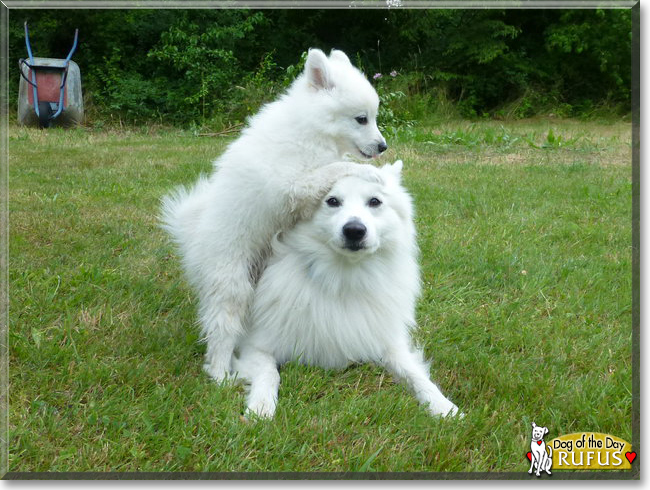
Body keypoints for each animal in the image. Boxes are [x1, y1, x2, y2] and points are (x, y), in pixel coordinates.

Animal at [160, 47, 388, 380]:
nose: (383, 146)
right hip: (232, 283)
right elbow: (336, 167)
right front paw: (370, 172)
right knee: (221, 329)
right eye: (362, 119)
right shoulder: (293, 184)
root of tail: (191, 239)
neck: (311, 128)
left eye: (374, 118)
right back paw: (220, 375)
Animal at [230, 160, 458, 418]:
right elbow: (269, 374)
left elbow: (415, 374)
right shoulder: (256, 347)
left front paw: (442, 406)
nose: (354, 230)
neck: (343, 277)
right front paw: (260, 407)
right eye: (332, 201)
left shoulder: (388, 344)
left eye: (375, 201)